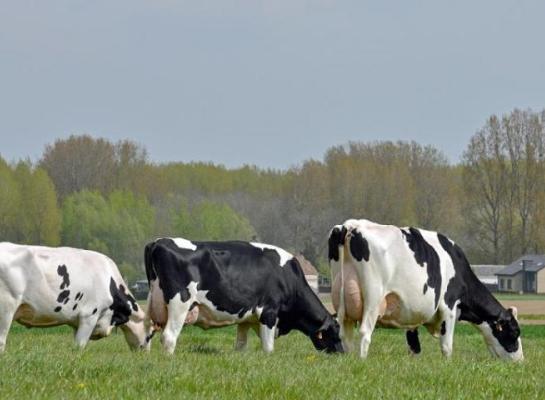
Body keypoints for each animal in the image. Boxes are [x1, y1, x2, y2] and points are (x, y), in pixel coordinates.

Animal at [0, 242, 148, 352]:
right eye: (150, 333)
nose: (145, 353)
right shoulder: (89, 316)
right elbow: (79, 346)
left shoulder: (77, 323)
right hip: (6, 309)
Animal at [142, 238, 342, 354]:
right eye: (336, 334)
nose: (343, 354)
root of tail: (159, 242)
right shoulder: (269, 312)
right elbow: (268, 347)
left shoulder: (246, 317)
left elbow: (240, 345)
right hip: (179, 303)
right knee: (169, 337)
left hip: (152, 303)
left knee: (146, 335)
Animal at [328, 220, 524, 360]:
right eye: (515, 332)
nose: (520, 360)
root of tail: (350, 226)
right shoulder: (449, 307)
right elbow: (447, 346)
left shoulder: (411, 313)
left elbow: (414, 346)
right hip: (373, 298)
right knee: (365, 332)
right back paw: (362, 361)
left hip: (341, 300)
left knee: (344, 335)